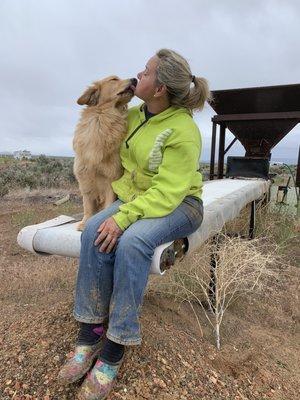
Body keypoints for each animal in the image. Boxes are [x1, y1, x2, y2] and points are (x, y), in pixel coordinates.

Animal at [73, 76, 137, 230]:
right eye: (114, 79)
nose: (135, 79)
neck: (104, 118)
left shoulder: (111, 179)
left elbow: (107, 204)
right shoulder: (85, 178)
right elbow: (88, 205)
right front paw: (84, 222)